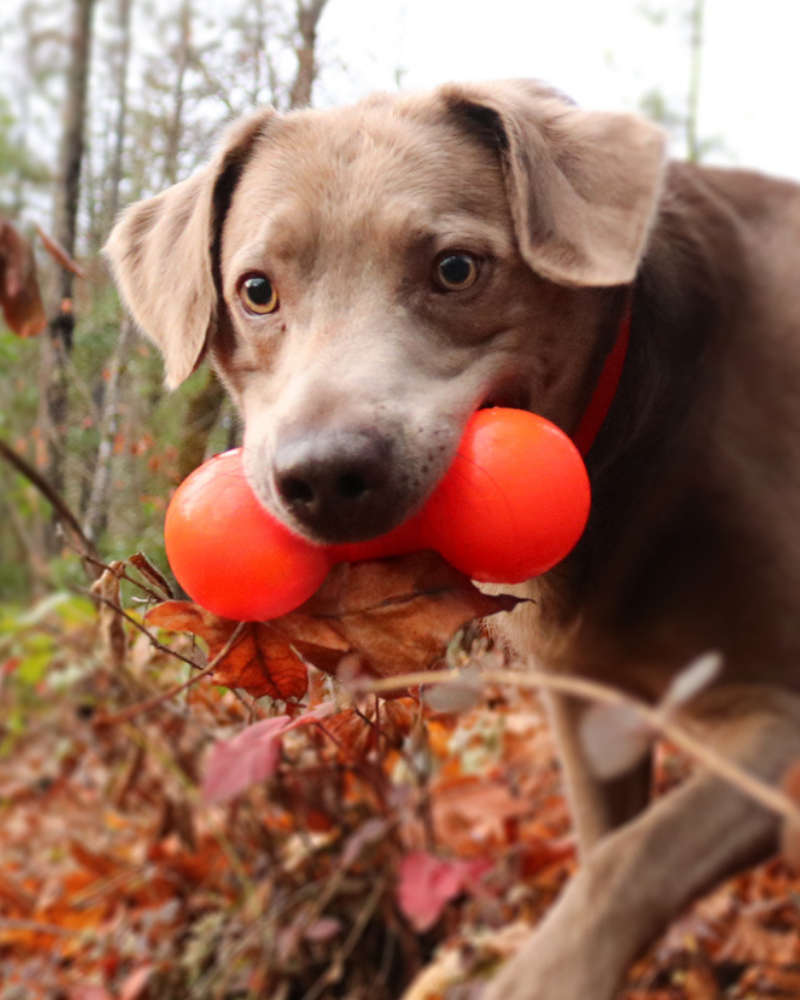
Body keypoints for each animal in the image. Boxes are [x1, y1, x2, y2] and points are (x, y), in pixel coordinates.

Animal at [108, 80, 800, 1000]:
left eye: (457, 269)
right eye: (256, 291)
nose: (324, 476)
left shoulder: (777, 715)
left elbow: (629, 859)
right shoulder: (590, 711)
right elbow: (608, 845)